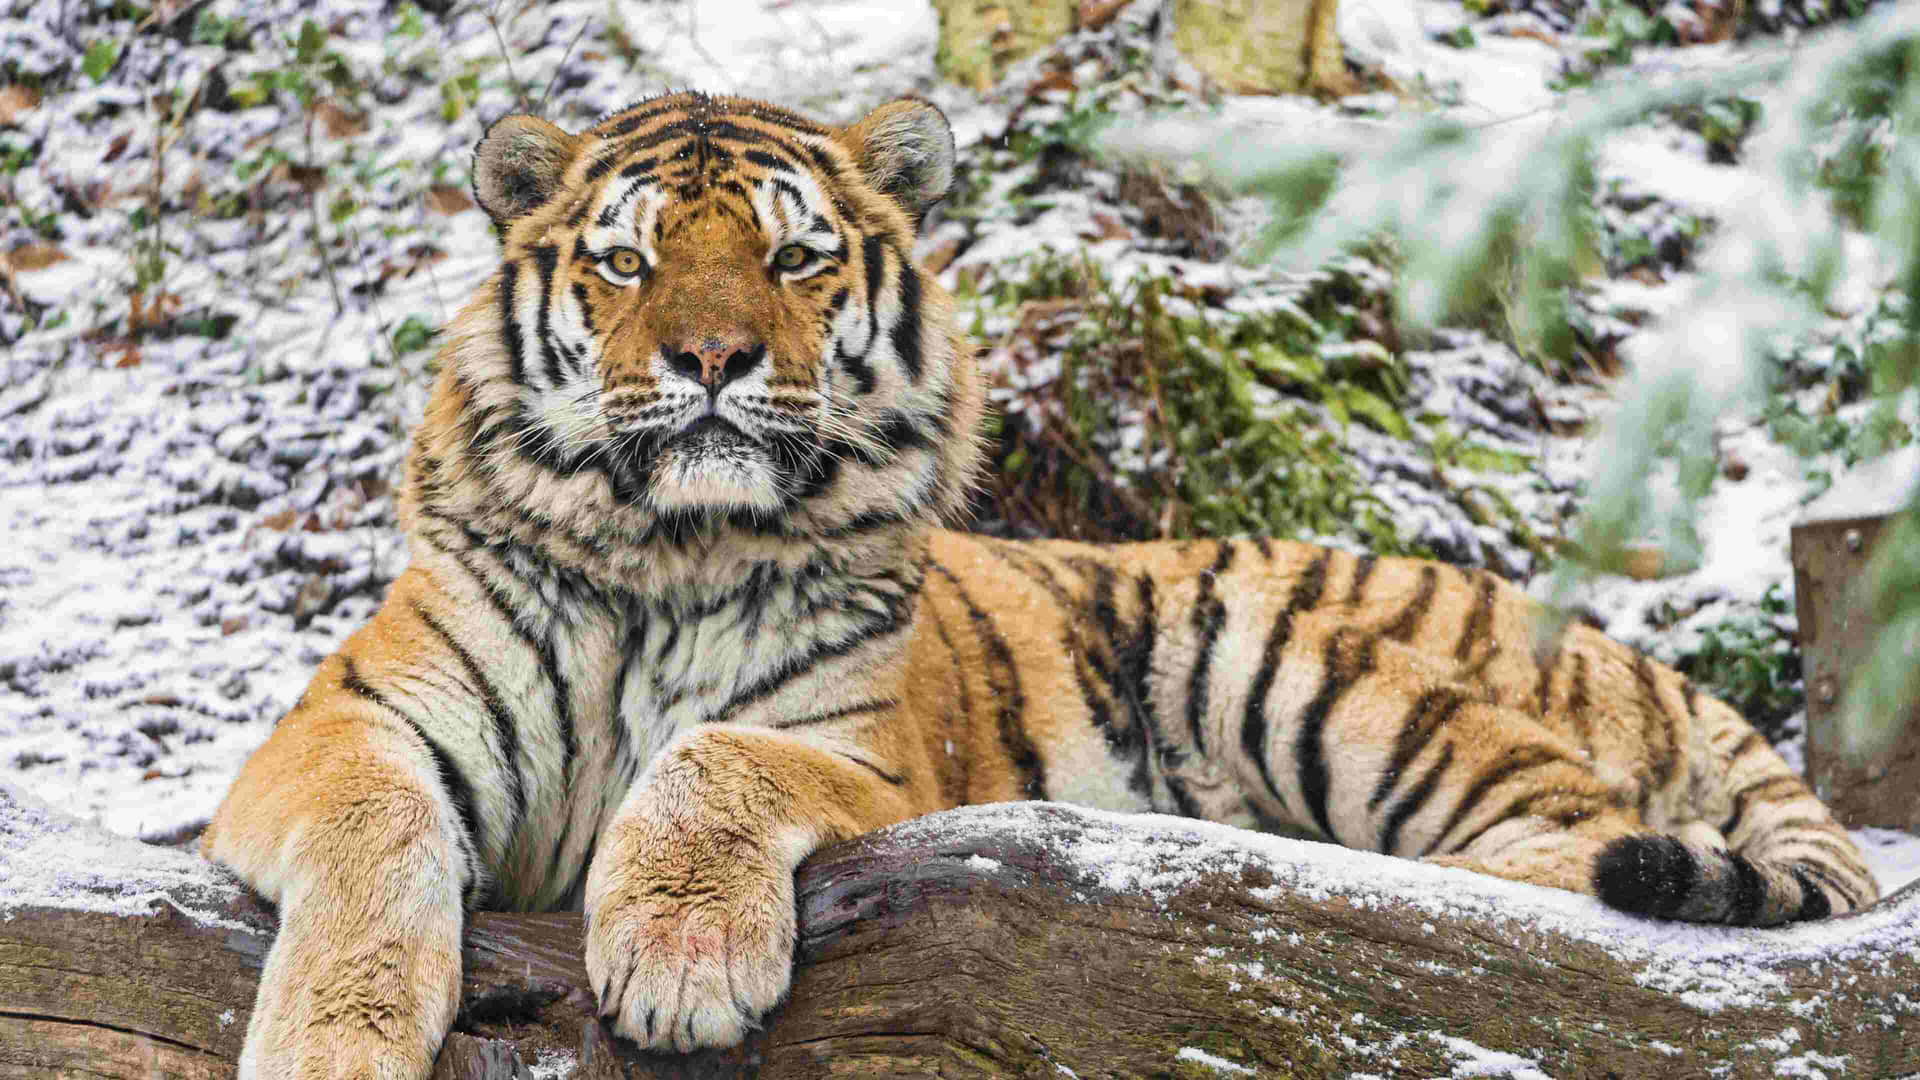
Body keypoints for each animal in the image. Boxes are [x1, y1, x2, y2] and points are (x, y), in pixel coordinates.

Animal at [201, 91, 1881, 1078]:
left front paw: (680, 962)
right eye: (627, 264)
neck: (676, 546)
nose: (712, 357)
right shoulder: (345, 725)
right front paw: (333, 1046)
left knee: (1557, 872)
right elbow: (373, 830)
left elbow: (711, 760)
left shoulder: (867, 753)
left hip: (1303, 665)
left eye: (794, 259)